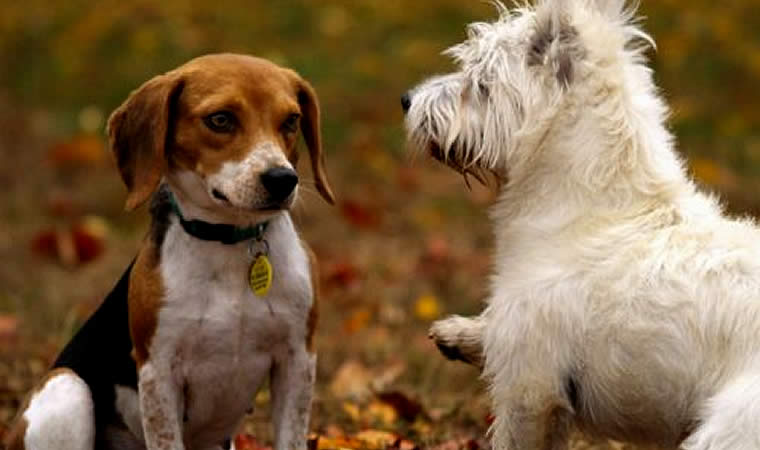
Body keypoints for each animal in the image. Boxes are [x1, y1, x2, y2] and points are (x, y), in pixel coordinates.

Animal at [4, 53, 334, 450]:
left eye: (291, 121)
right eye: (220, 119)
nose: (282, 179)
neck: (230, 243)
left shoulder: (297, 360)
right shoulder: (158, 372)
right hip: (67, 388)